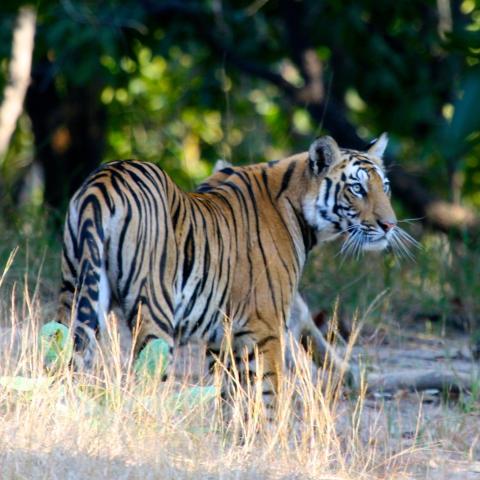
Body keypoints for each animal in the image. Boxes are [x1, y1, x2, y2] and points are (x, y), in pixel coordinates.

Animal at [56, 133, 408, 410]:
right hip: (154, 310)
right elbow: (268, 395)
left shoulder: (223, 336)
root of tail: (103, 182)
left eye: (386, 187)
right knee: (144, 381)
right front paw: (266, 445)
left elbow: (230, 397)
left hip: (74, 293)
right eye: (357, 189)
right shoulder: (266, 327)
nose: (389, 225)